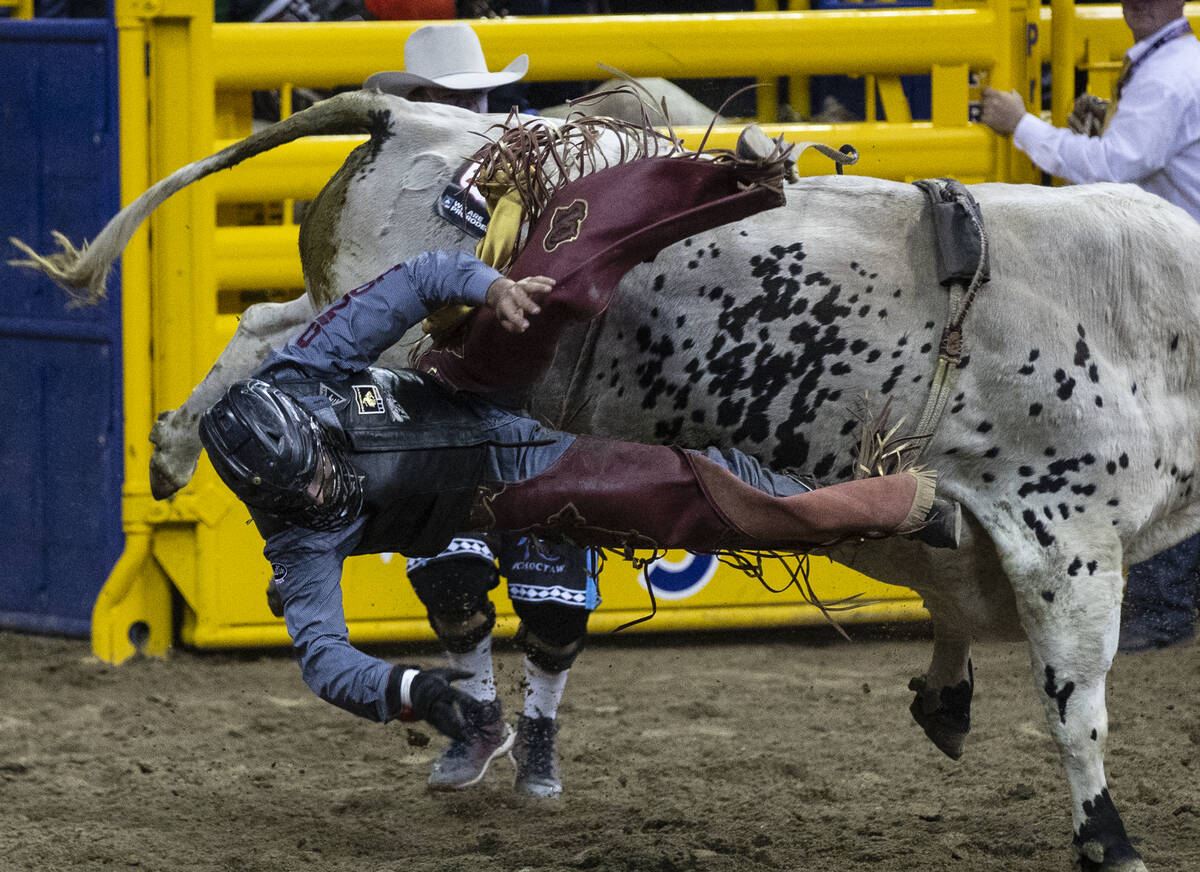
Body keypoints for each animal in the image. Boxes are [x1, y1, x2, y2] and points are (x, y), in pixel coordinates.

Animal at [11, 86, 1200, 868]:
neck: (1156, 325)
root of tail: (413, 116)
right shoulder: (1064, 536)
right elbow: (1076, 702)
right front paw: (1108, 837)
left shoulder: (989, 530)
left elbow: (954, 600)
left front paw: (947, 697)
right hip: (408, 321)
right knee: (283, 342)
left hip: (364, 311)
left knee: (269, 325)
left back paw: (177, 439)